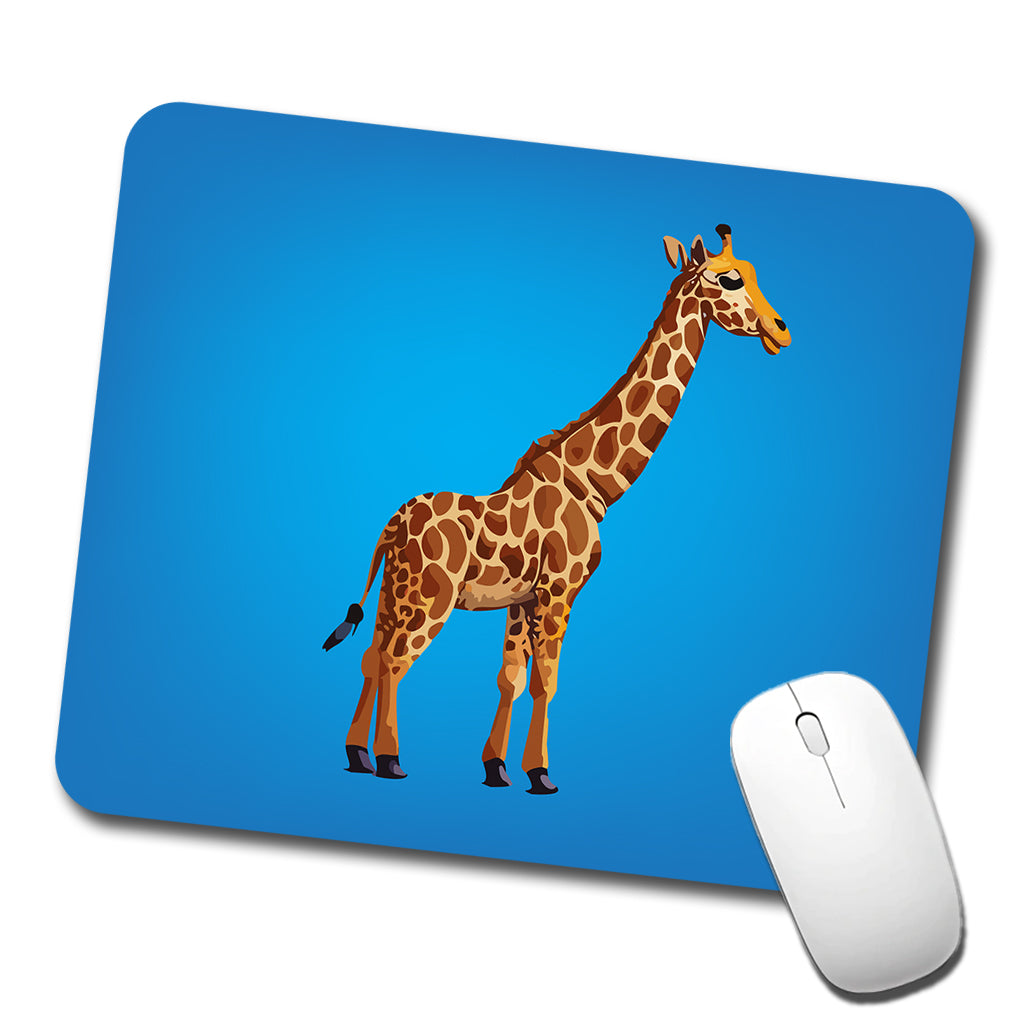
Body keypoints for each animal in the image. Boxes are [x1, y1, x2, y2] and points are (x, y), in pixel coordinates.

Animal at [323, 224, 790, 793]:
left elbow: (510, 678)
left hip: (395, 592)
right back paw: (390, 760)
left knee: (372, 657)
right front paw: (541, 774)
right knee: (395, 661)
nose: (781, 331)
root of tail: (392, 525)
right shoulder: (559, 589)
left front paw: (497, 769)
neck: (594, 483)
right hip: (431, 595)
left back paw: (356, 755)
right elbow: (547, 681)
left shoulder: (522, 598)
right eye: (729, 279)